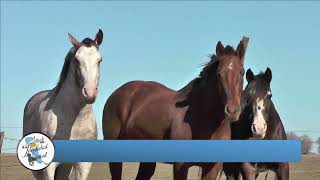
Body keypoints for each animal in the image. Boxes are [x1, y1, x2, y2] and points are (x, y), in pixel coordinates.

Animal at [104, 37, 249, 179]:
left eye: (242, 73)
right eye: (219, 74)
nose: (232, 111)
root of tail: (115, 94)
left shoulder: (212, 168)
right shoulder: (180, 166)